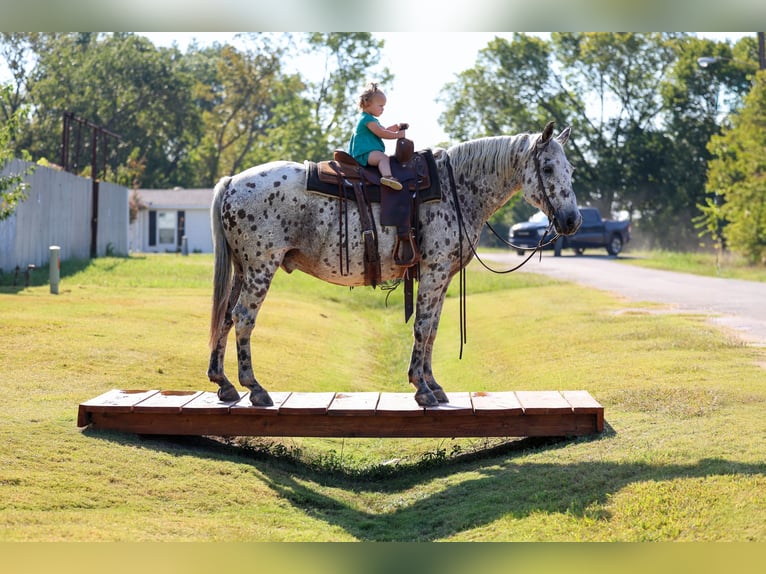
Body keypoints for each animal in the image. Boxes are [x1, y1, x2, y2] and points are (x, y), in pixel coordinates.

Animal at [208, 122, 581, 408]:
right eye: (548, 168)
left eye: (571, 170)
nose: (572, 220)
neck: (457, 189)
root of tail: (232, 182)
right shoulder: (433, 272)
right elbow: (422, 327)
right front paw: (422, 388)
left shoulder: (443, 277)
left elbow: (433, 329)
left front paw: (434, 385)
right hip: (261, 268)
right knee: (243, 317)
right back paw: (255, 388)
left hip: (242, 269)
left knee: (226, 315)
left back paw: (224, 383)